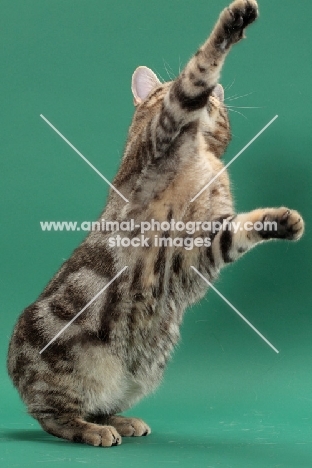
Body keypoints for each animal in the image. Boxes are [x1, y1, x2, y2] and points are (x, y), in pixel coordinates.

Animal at [7, 0, 304, 446]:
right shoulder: (168, 127)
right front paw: (232, 23)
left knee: (97, 406)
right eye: (166, 86)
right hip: (66, 371)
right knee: (53, 416)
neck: (201, 152)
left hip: (143, 371)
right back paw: (90, 430)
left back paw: (120, 422)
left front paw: (284, 221)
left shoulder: (208, 239)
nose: (217, 97)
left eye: (223, 107)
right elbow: (200, 67)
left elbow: (244, 228)